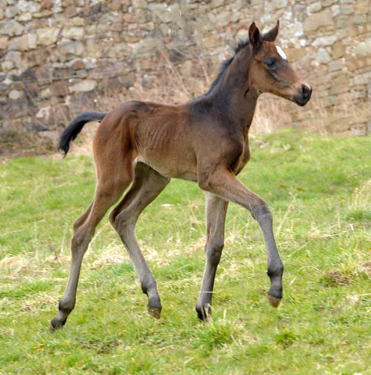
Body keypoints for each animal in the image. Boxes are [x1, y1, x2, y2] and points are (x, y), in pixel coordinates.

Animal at [50, 22, 312, 330]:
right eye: (270, 62)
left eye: (287, 58)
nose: (305, 90)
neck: (224, 114)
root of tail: (105, 116)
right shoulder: (211, 176)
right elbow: (260, 207)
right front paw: (275, 286)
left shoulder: (218, 182)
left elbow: (215, 244)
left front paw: (203, 308)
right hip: (113, 178)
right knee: (83, 229)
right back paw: (62, 312)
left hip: (153, 178)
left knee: (122, 218)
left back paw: (153, 298)